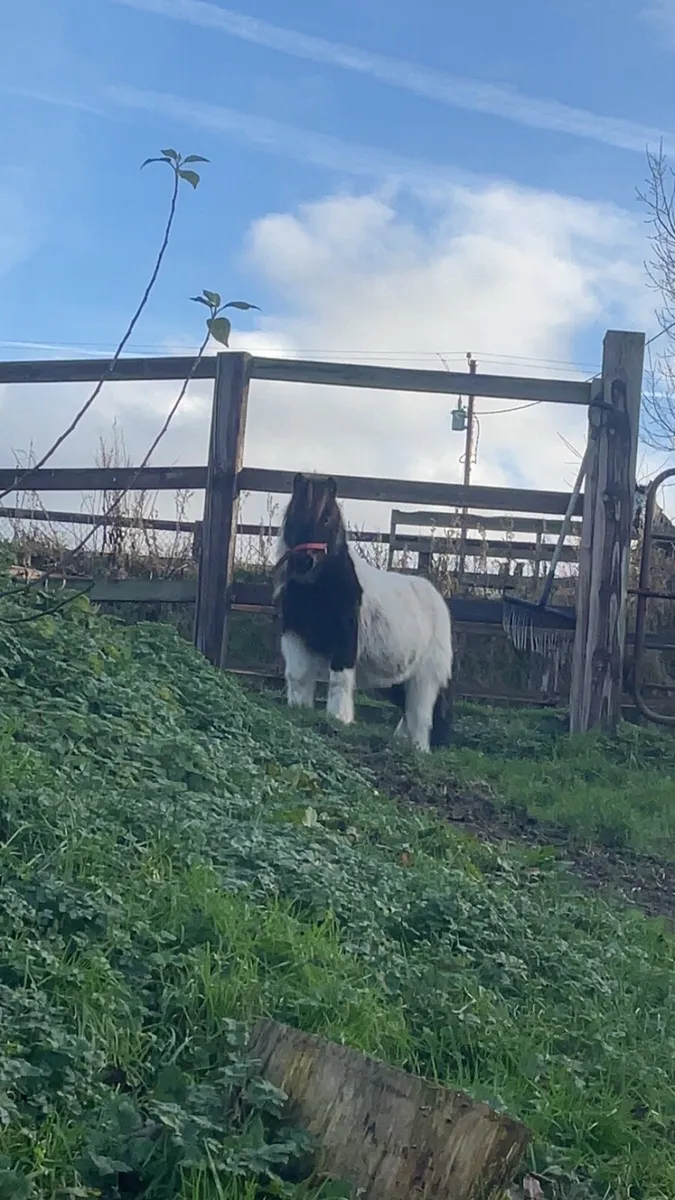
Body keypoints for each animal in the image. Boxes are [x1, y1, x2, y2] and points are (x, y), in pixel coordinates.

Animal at [273, 472, 454, 752]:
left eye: (327, 518)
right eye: (292, 513)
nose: (304, 562)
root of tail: (437, 599)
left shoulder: (345, 642)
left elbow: (339, 680)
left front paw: (339, 719)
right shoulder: (294, 635)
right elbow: (297, 676)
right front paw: (299, 710)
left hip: (426, 676)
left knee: (421, 714)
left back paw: (419, 749)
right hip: (398, 679)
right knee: (410, 710)